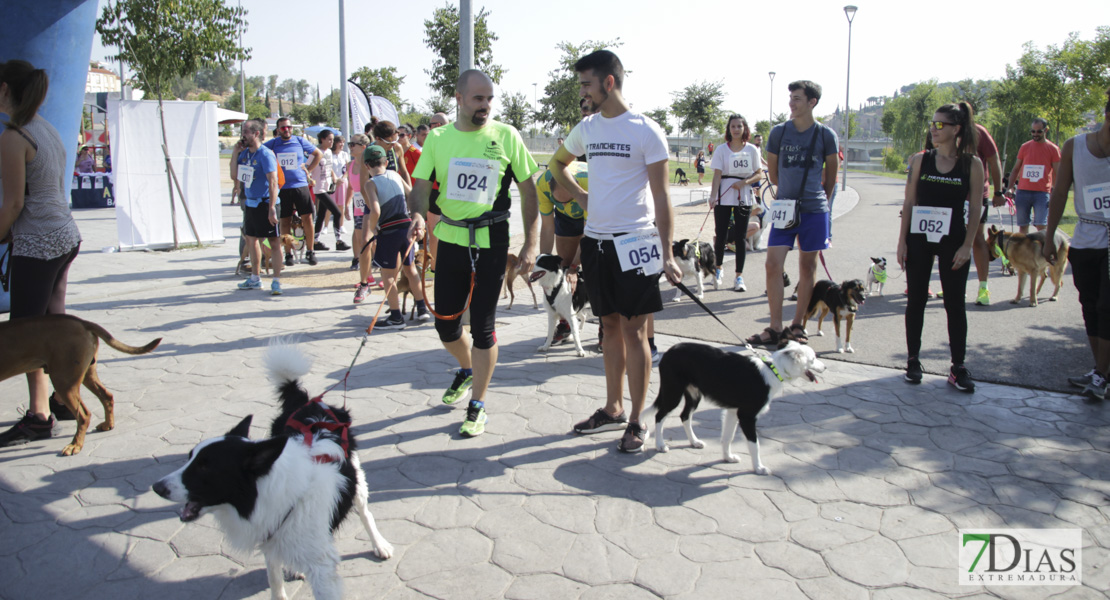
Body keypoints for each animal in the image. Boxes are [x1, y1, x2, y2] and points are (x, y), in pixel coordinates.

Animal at [0, 314, 160, 452]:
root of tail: (83, 322)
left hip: (64, 381)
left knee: (84, 415)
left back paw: (75, 445)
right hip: (87, 373)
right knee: (107, 396)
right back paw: (108, 424)